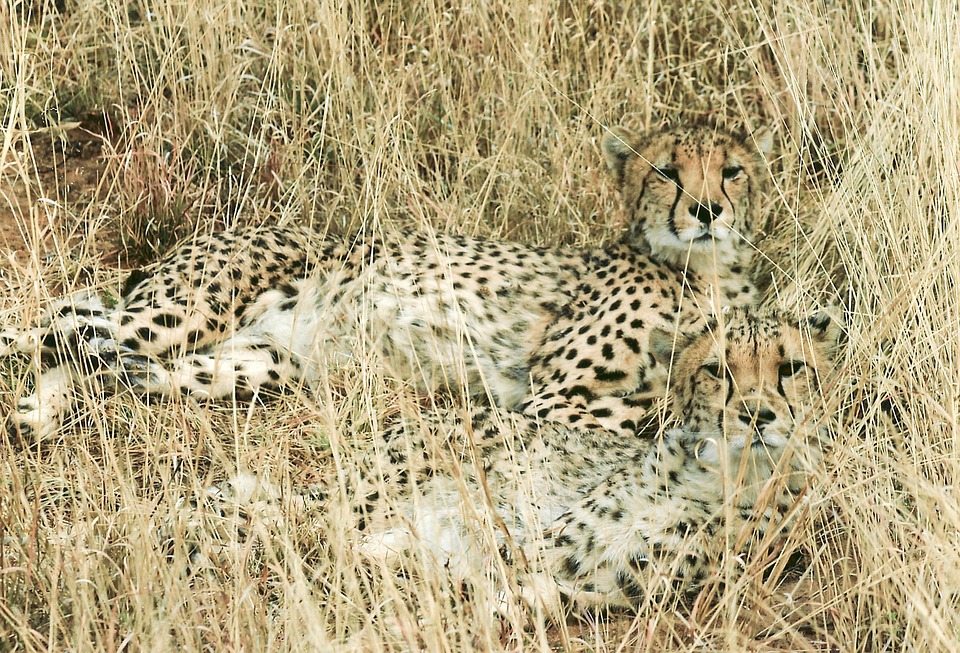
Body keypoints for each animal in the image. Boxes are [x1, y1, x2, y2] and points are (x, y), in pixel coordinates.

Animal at [2, 122, 772, 441]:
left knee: (102, 357)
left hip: (257, 363)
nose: (708, 211)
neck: (699, 274)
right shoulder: (556, 397)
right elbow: (635, 415)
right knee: (50, 326)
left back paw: (40, 413)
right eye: (667, 171)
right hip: (188, 309)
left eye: (732, 172)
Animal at [177, 307, 841, 619]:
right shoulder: (531, 544)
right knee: (307, 520)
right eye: (717, 371)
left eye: (791, 369)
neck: (720, 472)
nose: (757, 415)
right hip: (397, 482)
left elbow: (510, 596)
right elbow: (477, 568)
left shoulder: (601, 587)